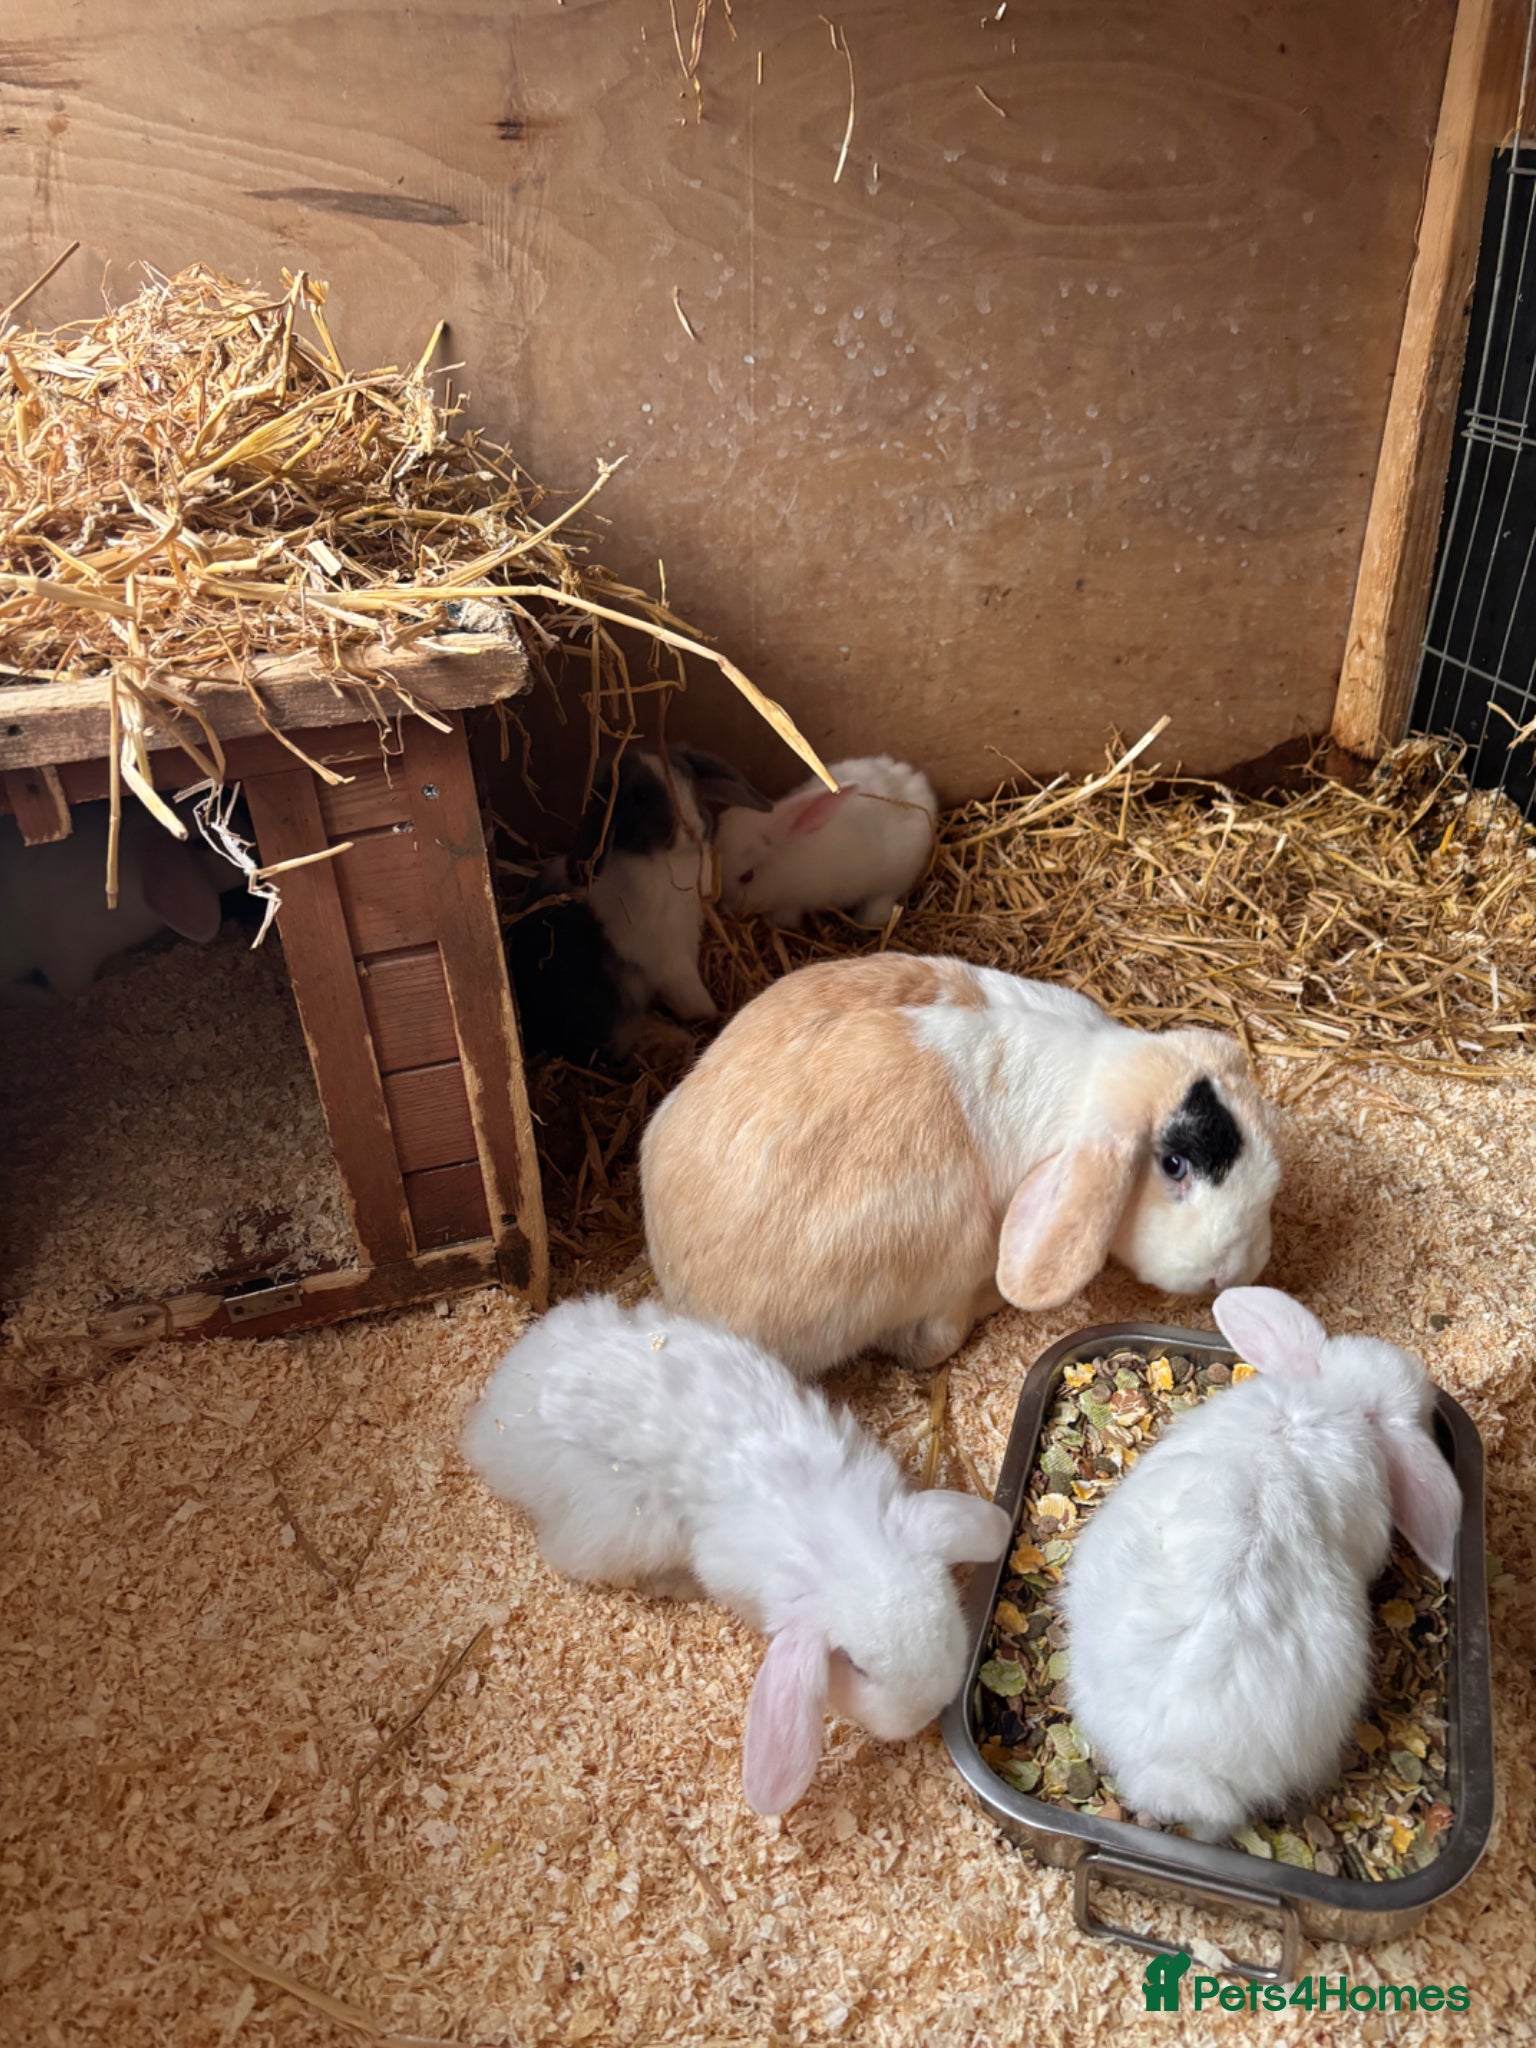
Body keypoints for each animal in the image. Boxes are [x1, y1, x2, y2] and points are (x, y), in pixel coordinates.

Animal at [506, 745, 769, 1064]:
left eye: (688, 778)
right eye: (639, 795)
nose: (694, 828)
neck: (666, 861)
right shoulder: (667, 959)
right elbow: (688, 992)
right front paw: (710, 1013)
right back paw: (674, 1040)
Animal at [716, 754, 939, 929]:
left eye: (746, 877)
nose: (726, 907)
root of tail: (921, 784)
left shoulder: (793, 902)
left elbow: (786, 917)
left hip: (896, 875)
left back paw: (869, 918)